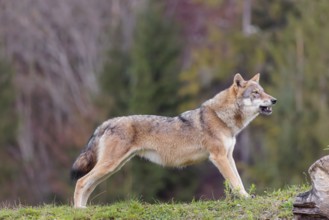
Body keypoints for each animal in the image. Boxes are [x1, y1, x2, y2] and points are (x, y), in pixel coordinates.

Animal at [71, 74, 274, 208]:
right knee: (81, 182)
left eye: (264, 92)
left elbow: (238, 180)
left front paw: (246, 196)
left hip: (113, 168)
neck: (221, 117)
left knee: (88, 185)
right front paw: (245, 198)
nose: (274, 100)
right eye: (256, 93)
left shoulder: (229, 156)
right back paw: (78, 210)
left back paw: (83, 209)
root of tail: (107, 122)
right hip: (110, 166)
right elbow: (234, 181)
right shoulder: (218, 157)